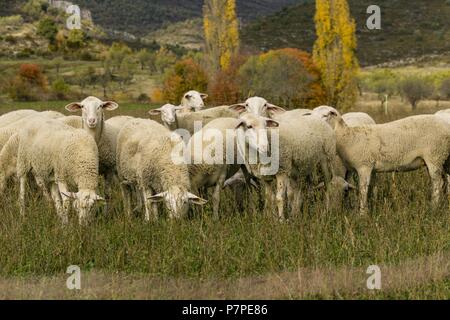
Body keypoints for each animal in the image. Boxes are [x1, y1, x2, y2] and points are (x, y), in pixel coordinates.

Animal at [312, 106, 450, 214]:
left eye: (326, 115)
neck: (347, 135)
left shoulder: (364, 166)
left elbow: (363, 189)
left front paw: (362, 213)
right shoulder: (355, 169)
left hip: (435, 156)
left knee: (437, 183)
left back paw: (433, 208)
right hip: (443, 158)